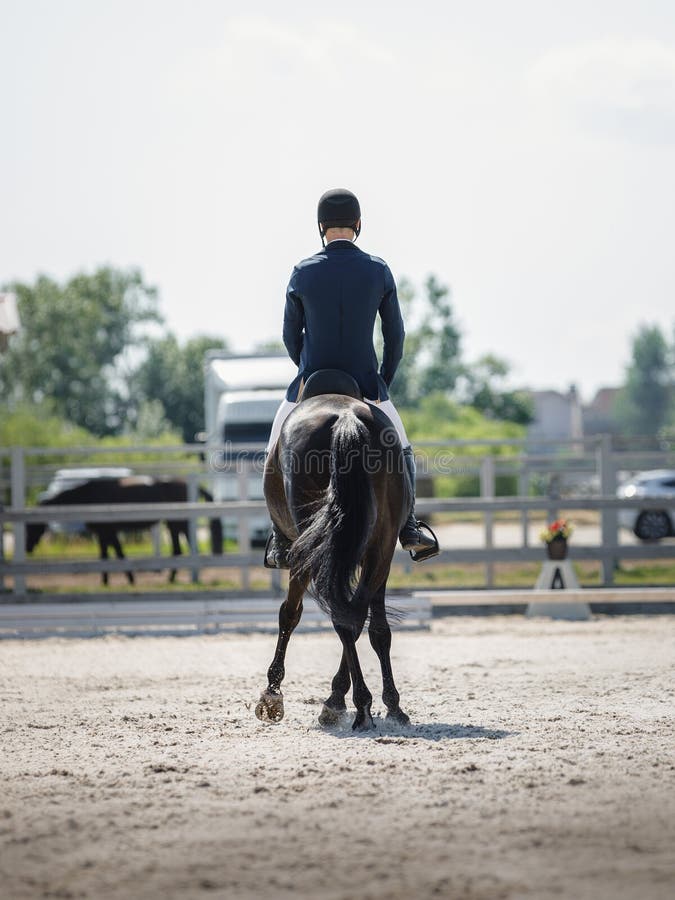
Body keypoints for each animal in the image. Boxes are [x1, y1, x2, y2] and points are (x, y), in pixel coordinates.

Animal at [27, 474, 224, 588]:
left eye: (32, 525)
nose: (28, 547)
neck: (89, 496)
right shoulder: (103, 533)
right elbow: (106, 555)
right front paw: (107, 581)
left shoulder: (108, 531)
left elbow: (117, 554)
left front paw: (127, 579)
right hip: (174, 524)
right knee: (179, 549)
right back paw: (174, 578)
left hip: (177, 523)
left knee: (184, 549)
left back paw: (176, 578)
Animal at [258, 384, 412, 736]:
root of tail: (345, 417)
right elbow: (373, 626)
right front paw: (383, 703)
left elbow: (289, 614)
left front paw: (273, 694)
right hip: (380, 547)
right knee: (356, 616)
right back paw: (367, 705)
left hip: (315, 547)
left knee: (339, 615)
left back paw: (355, 707)